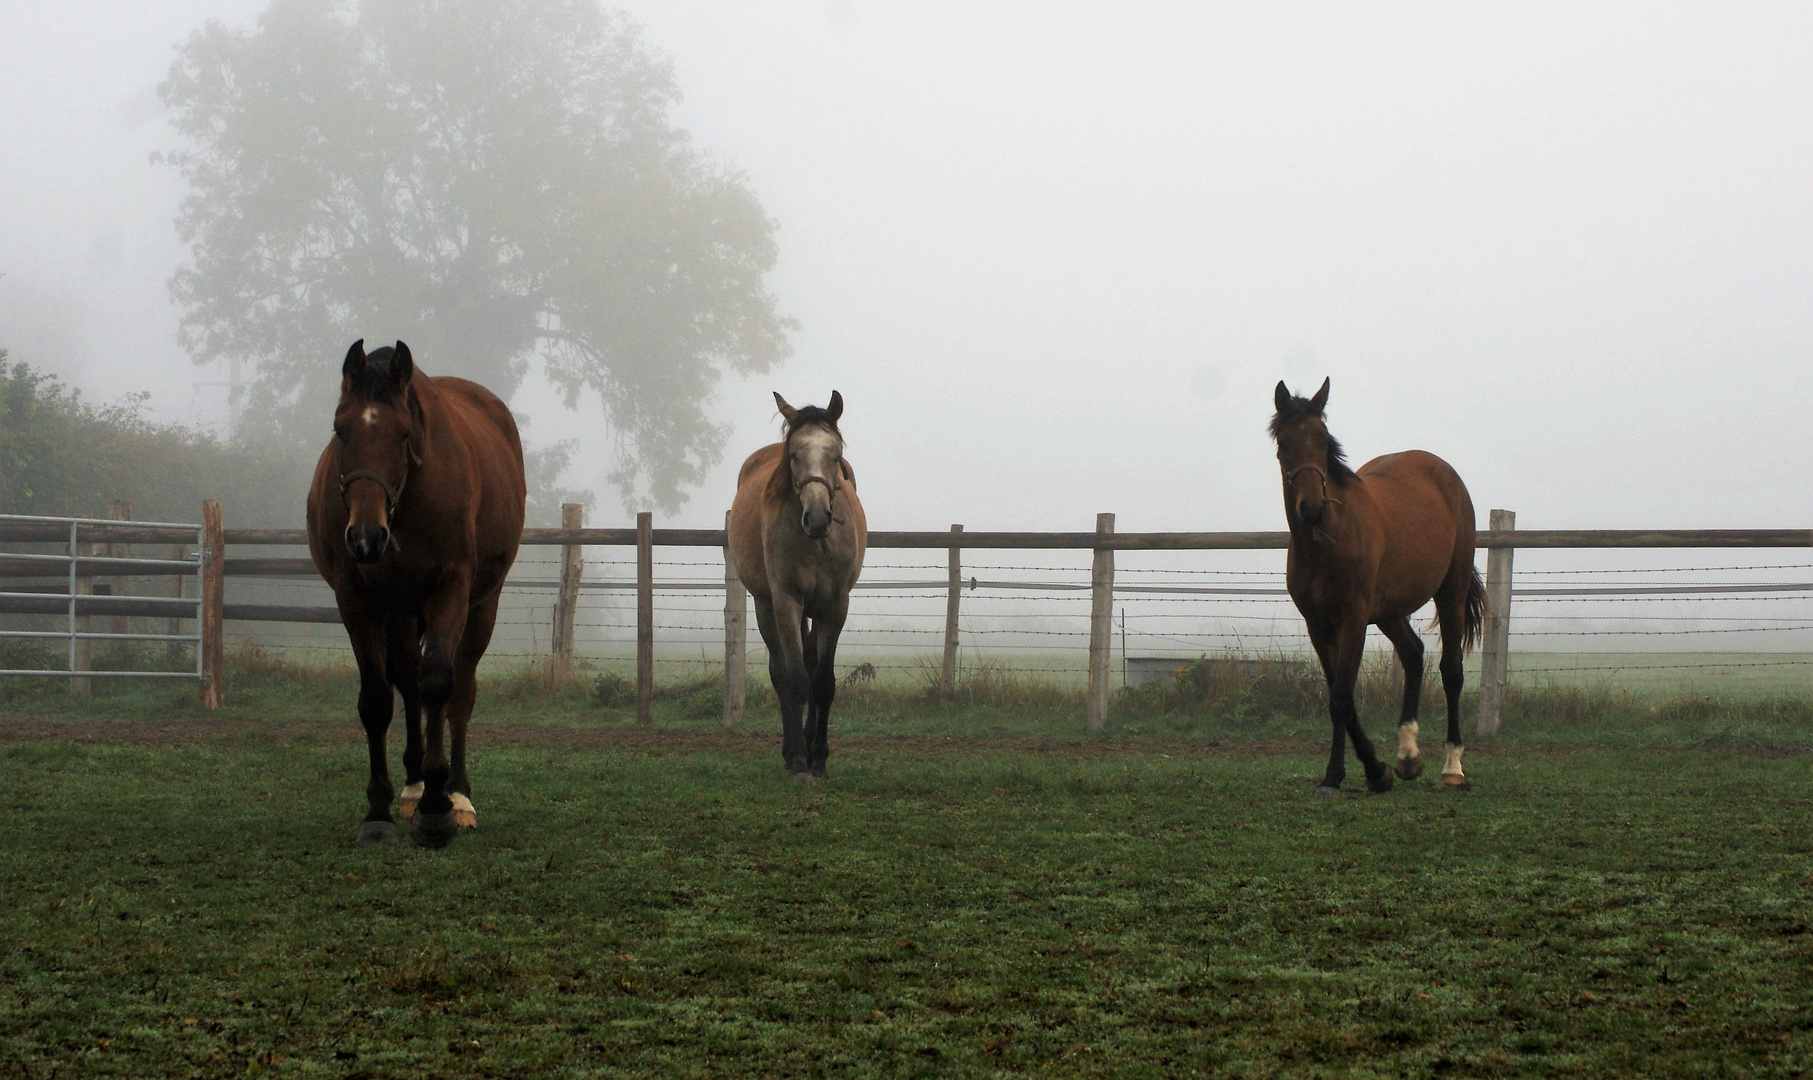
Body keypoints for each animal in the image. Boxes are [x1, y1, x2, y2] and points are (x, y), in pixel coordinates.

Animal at [306, 342, 525, 848]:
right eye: (339, 428)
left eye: (403, 433)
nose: (365, 538)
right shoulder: (358, 602)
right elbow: (376, 699)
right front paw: (379, 811)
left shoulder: (451, 590)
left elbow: (440, 684)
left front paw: (437, 810)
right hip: (400, 613)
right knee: (406, 682)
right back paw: (412, 785)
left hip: (481, 606)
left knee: (459, 690)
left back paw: (457, 793)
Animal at [725, 393, 866, 779]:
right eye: (793, 455)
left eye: (836, 453)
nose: (817, 518)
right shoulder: (787, 600)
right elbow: (796, 680)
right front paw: (801, 762)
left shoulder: (836, 605)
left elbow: (823, 682)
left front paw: (820, 756)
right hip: (765, 604)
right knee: (780, 672)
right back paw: (791, 752)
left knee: (811, 662)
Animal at [1269, 376, 1479, 793]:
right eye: (1284, 443)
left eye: (1323, 439)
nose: (1312, 508)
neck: (1329, 540)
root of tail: (1444, 472)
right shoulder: (1318, 624)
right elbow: (1341, 697)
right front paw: (1377, 770)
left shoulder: (1353, 618)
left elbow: (1341, 698)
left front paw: (1337, 775)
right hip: (1389, 611)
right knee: (1413, 654)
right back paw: (1409, 757)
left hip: (1451, 591)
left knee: (1451, 671)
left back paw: (1453, 767)